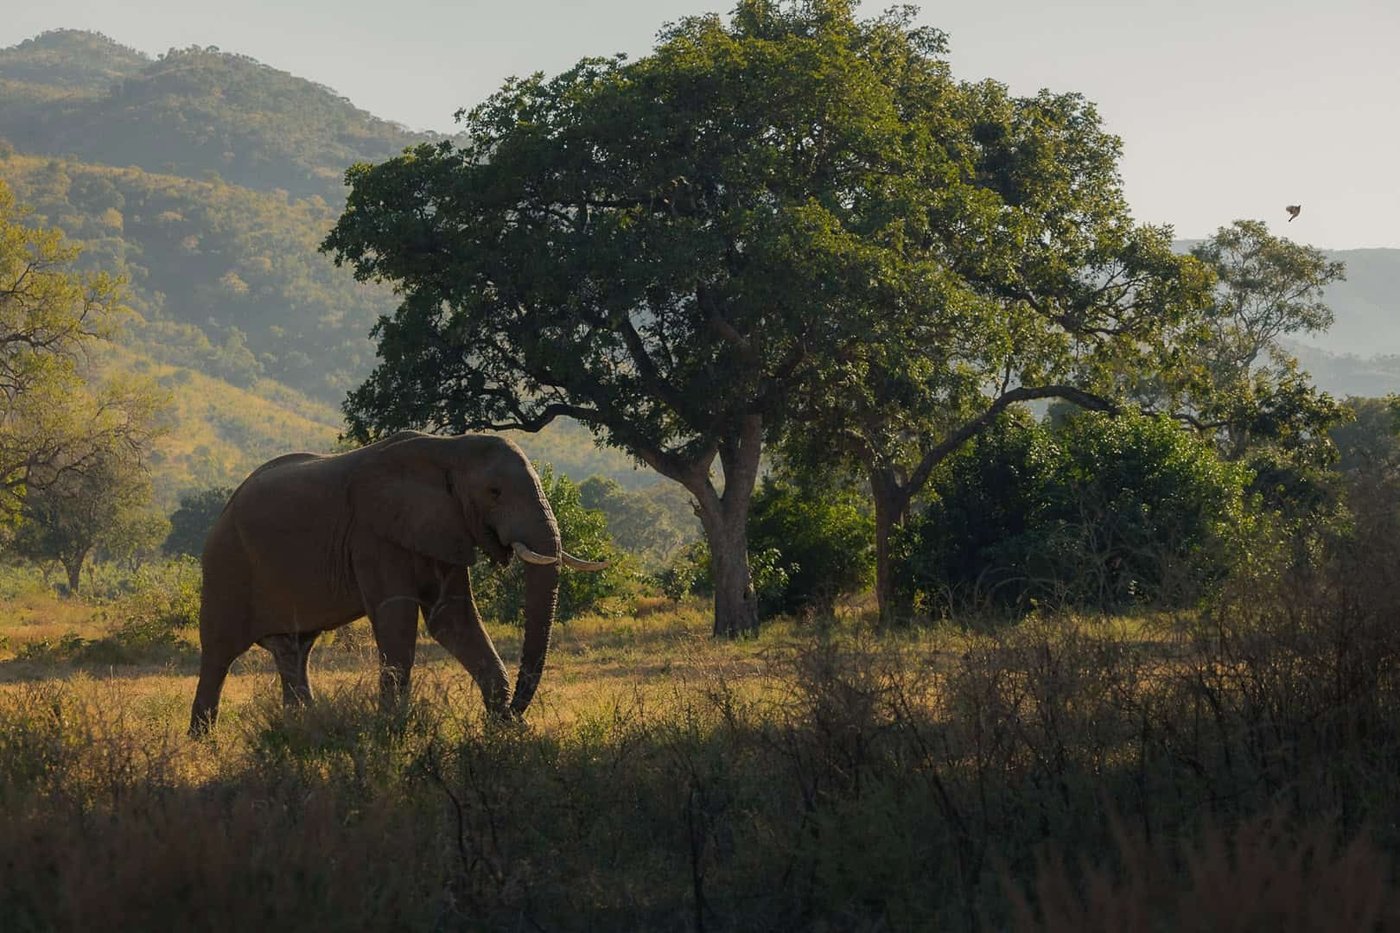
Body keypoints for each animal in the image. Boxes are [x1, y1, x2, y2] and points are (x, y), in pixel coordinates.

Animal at [189, 430, 605, 736]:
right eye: (494, 492)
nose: (514, 714)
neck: (449, 447)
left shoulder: (443, 529)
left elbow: (451, 618)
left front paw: (502, 732)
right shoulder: (372, 535)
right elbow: (397, 617)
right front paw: (390, 732)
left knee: (292, 650)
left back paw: (301, 728)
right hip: (226, 565)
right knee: (219, 653)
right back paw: (203, 745)